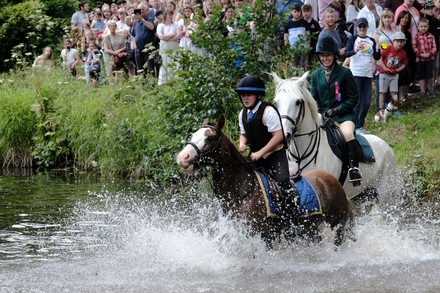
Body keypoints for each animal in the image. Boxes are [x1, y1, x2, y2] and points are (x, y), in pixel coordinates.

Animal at [175, 115, 354, 245]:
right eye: (193, 135)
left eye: (210, 138)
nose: (182, 158)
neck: (241, 191)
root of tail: (333, 181)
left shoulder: (265, 235)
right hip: (311, 230)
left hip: (337, 226)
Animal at [272, 72, 398, 202]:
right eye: (276, 103)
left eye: (297, 102)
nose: (284, 135)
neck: (301, 156)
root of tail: (386, 145)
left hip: (385, 194)